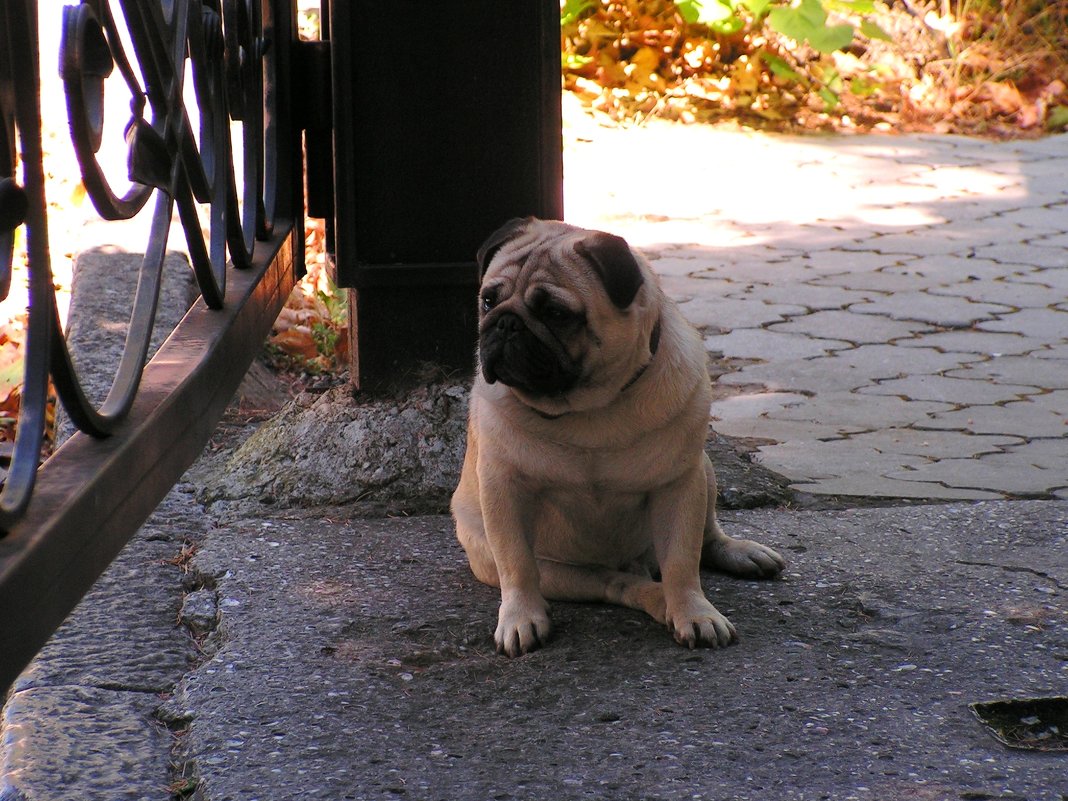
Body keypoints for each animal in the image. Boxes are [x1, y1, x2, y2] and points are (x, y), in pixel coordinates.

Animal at [450, 220, 786, 657]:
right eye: (488, 301)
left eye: (556, 314)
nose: (505, 323)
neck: (586, 407)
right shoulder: (503, 489)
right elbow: (517, 564)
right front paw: (520, 617)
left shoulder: (679, 485)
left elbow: (682, 562)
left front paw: (694, 612)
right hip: (558, 572)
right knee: (618, 584)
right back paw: (657, 599)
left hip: (705, 470)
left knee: (706, 536)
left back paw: (738, 554)